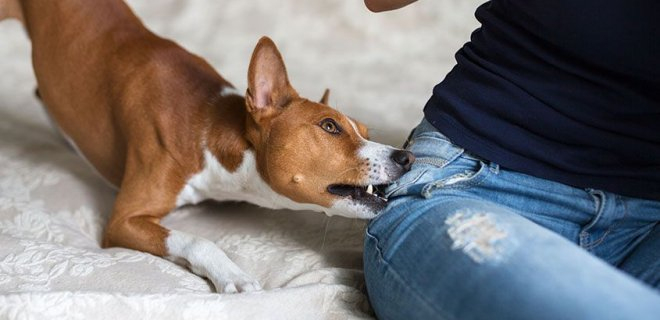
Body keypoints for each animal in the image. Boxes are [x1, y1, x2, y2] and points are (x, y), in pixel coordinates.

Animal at [1, 0, 412, 292]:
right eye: (329, 127)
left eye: (363, 129)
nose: (406, 156)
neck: (206, 126)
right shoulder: (123, 220)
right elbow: (199, 242)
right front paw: (234, 276)